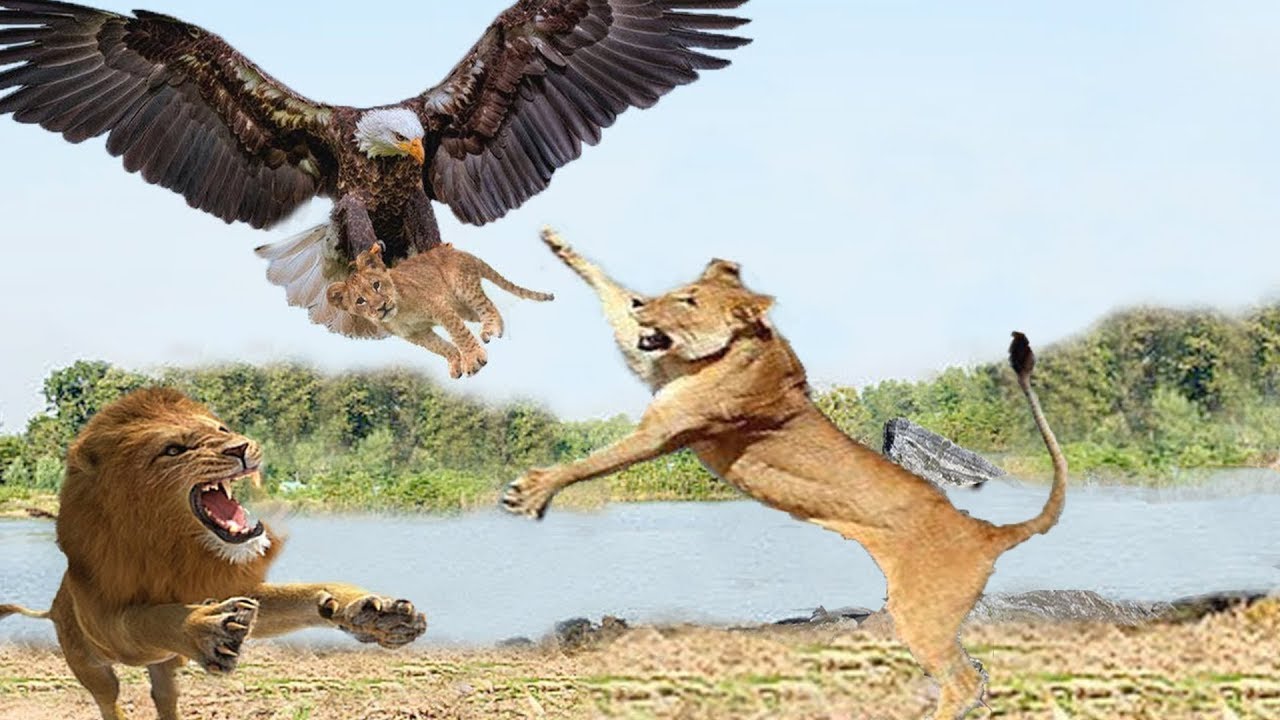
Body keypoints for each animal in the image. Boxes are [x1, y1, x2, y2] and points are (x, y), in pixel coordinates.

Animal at [0, 389, 427, 720]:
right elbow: (146, 618)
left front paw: (376, 612)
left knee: (164, 697)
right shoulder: (109, 621)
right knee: (111, 703)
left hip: (164, 672)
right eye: (173, 449)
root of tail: (53, 606)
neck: (179, 548)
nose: (240, 447)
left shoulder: (234, 584)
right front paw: (206, 627)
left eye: (222, 431)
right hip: (93, 669)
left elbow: (304, 594)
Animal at [327, 242, 554, 378]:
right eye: (360, 301)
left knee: (487, 305)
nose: (381, 307)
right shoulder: (416, 334)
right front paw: (456, 361)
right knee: (483, 310)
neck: (399, 315)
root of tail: (461, 252)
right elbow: (439, 347)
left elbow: (458, 333)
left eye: (376, 285)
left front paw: (472, 359)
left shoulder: (439, 307)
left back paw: (491, 328)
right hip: (463, 308)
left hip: (463, 287)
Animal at [502, 230, 1069, 719]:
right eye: (675, 292)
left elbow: (592, 461)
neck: (740, 345)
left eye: (689, 301)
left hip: (921, 614)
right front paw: (560, 246)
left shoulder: (666, 430)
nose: (647, 307)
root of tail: (986, 530)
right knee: (978, 673)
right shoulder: (657, 373)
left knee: (963, 679)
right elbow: (610, 292)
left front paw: (530, 493)